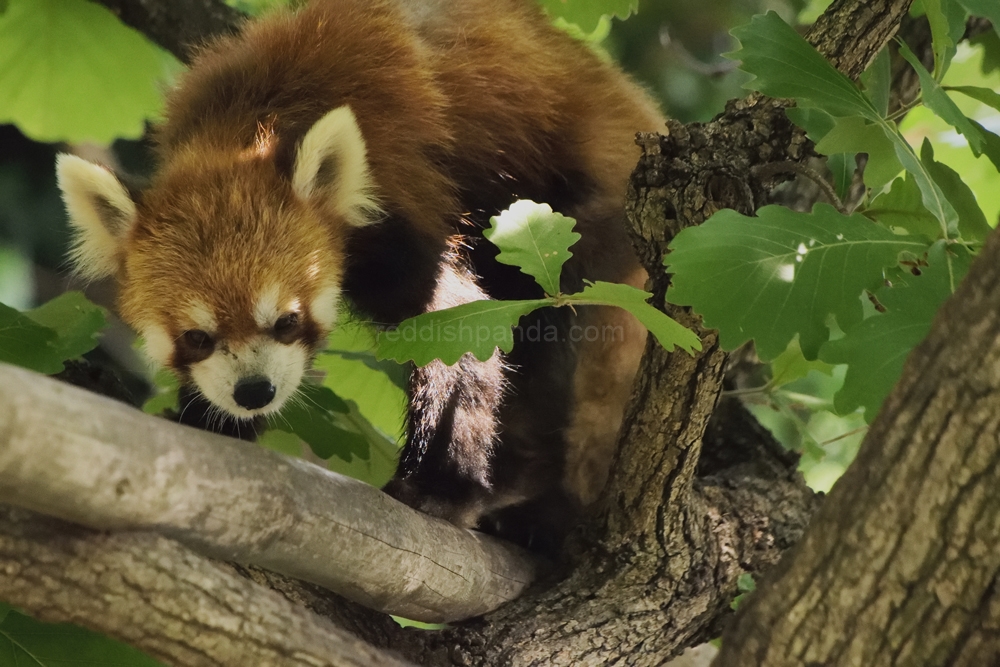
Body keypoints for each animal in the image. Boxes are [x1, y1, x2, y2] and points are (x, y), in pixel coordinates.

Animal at [54, 0, 664, 548]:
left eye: (287, 321)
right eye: (196, 337)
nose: (254, 392)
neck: (250, 121)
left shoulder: (400, 202)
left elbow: (456, 328)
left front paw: (440, 489)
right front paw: (210, 421)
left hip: (586, 218)